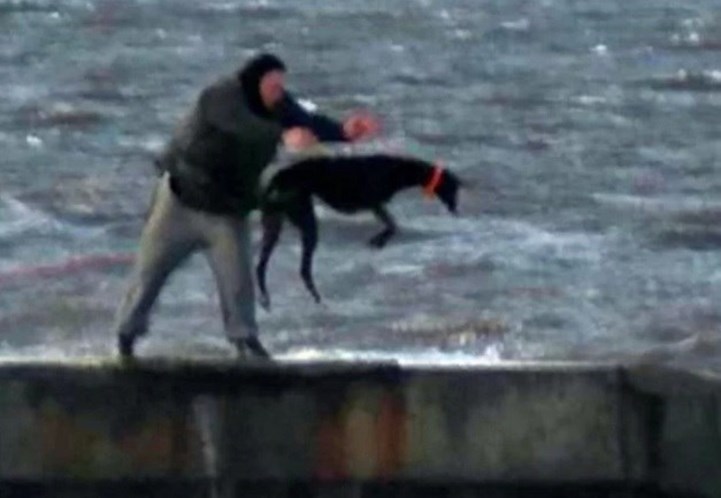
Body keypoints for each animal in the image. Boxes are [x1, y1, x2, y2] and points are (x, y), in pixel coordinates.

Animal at [258, 154, 462, 310]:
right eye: (453, 190)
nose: (456, 210)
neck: (398, 170)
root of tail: (280, 176)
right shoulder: (375, 203)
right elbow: (393, 226)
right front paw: (378, 241)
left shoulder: (376, 205)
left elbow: (392, 225)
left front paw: (378, 240)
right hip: (305, 220)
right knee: (303, 269)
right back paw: (319, 301)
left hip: (275, 222)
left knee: (261, 266)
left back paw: (267, 299)